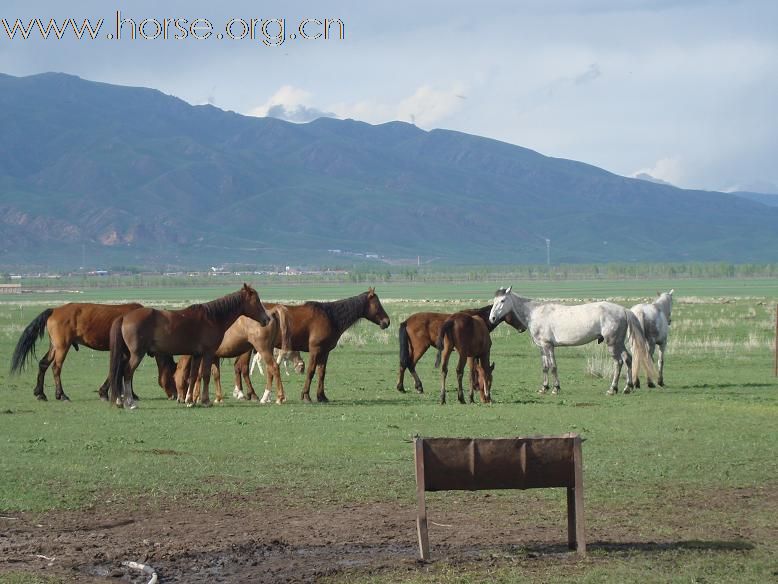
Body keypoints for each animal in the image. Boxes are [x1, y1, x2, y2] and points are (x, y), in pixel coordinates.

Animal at [11, 302, 176, 402]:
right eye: (173, 375)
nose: (174, 395)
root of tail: (54, 310)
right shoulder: (127, 353)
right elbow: (122, 371)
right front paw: (112, 393)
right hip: (62, 346)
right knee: (56, 368)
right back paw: (61, 395)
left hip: (55, 346)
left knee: (43, 364)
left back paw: (40, 393)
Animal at [107, 286, 268, 408]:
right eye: (256, 300)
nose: (267, 319)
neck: (212, 318)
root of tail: (125, 317)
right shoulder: (208, 353)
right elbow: (206, 375)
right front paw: (205, 400)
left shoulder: (196, 355)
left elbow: (193, 376)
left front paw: (190, 400)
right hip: (136, 354)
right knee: (127, 373)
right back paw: (130, 402)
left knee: (120, 372)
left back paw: (120, 401)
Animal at [488, 288, 652, 396]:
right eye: (494, 301)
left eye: (502, 300)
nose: (492, 318)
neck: (535, 313)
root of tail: (623, 310)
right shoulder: (542, 348)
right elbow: (545, 367)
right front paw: (544, 388)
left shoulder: (548, 346)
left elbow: (553, 367)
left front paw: (555, 388)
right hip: (619, 343)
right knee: (628, 359)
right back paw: (627, 388)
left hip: (612, 343)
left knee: (618, 362)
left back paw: (613, 389)